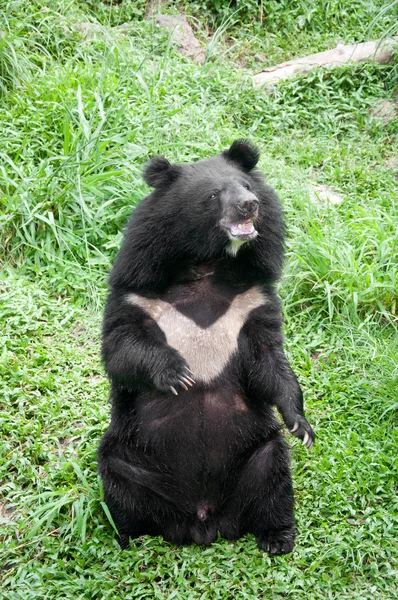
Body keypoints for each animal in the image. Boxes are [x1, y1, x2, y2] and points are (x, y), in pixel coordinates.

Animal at [97, 139, 314, 552]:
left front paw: (301, 424)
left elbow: (269, 360)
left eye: (246, 186)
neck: (206, 264)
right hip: (134, 459)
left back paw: (277, 537)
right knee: (119, 479)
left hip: (253, 456)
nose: (250, 205)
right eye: (213, 195)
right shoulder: (136, 290)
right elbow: (120, 347)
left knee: (273, 476)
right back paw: (131, 536)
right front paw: (177, 374)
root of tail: (202, 522)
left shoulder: (254, 298)